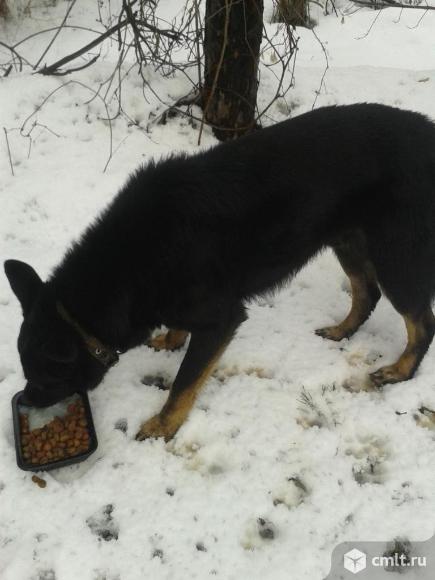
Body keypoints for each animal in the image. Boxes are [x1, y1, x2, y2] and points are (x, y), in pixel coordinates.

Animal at [5, 103, 435, 440]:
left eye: (47, 376)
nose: (27, 399)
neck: (130, 263)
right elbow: (178, 333)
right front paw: (171, 340)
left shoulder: (221, 320)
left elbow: (183, 383)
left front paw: (164, 425)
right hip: (348, 241)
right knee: (367, 294)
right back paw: (342, 331)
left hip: (396, 257)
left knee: (420, 322)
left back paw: (400, 370)